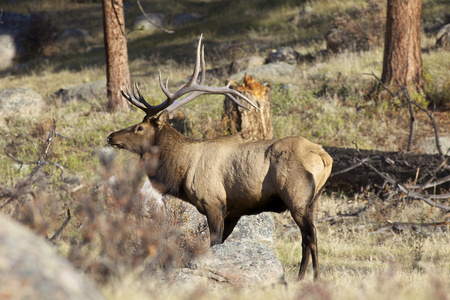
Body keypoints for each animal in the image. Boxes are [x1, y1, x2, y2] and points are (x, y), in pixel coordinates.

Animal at [107, 35, 332, 282]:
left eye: (139, 128)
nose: (111, 136)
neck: (181, 169)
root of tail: (325, 158)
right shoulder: (233, 210)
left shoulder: (213, 202)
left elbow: (213, 244)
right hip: (314, 200)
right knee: (309, 237)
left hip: (297, 198)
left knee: (310, 237)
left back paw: (308, 279)